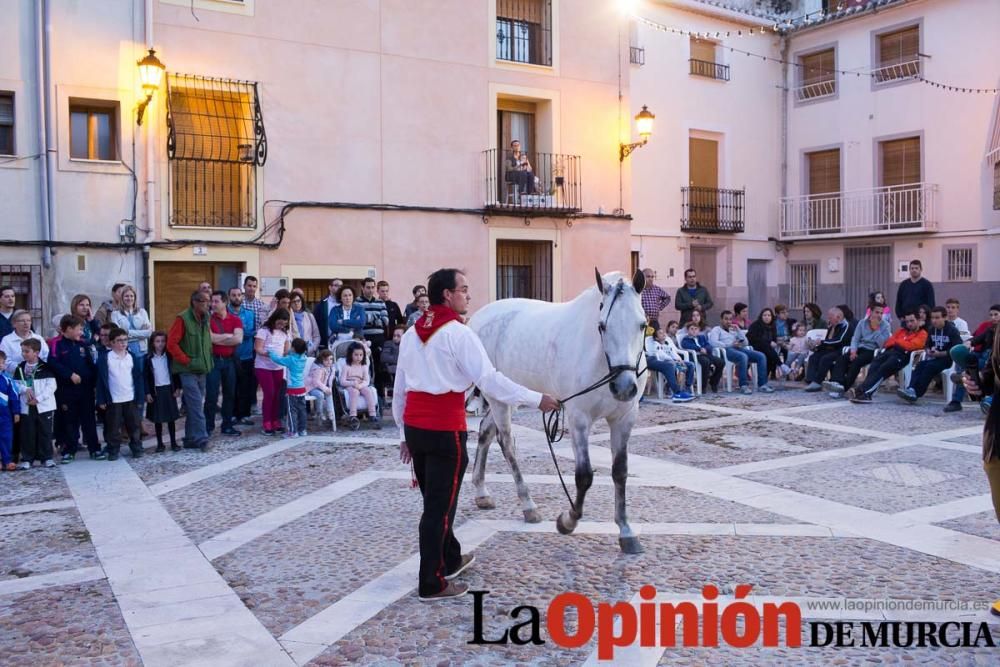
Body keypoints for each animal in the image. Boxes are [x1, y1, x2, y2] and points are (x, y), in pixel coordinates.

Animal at [468, 268, 648, 556]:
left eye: (642, 325)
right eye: (602, 326)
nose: (623, 387)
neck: (600, 360)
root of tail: (477, 318)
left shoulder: (624, 418)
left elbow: (620, 471)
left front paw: (626, 531)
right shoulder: (578, 419)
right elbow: (584, 476)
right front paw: (568, 520)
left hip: (508, 393)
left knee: (485, 431)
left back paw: (482, 493)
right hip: (497, 397)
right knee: (506, 443)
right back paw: (528, 505)